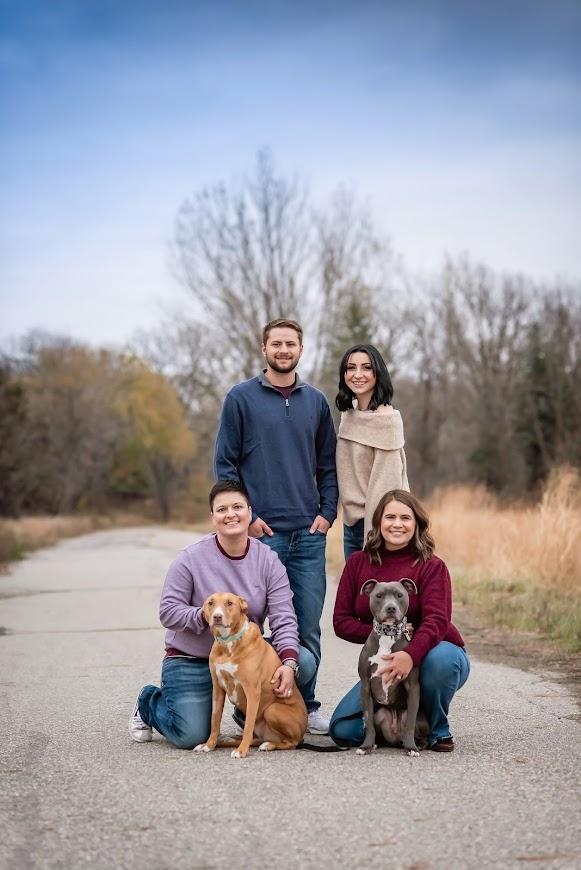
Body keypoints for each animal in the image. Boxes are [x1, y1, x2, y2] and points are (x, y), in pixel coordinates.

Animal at [193, 592, 308, 756]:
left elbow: (247, 726)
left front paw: (241, 751)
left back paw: (268, 745)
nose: (217, 617)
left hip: (273, 710)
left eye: (229, 603)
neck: (228, 643)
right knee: (258, 739)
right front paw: (209, 745)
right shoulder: (217, 689)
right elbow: (214, 721)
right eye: (210, 603)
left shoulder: (252, 691)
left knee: (291, 743)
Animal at [356, 580, 428, 756]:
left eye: (399, 595)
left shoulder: (413, 687)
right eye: (379, 595)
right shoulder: (366, 686)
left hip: (421, 720)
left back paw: (416, 745)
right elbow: (368, 721)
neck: (387, 635)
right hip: (380, 713)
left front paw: (411, 748)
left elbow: (410, 723)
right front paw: (366, 746)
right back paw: (376, 744)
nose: (391, 608)